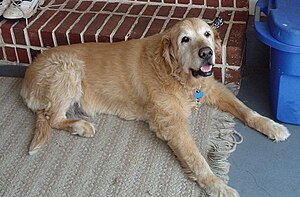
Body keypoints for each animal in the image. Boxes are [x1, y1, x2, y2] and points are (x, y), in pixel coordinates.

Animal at [19, 17, 290, 196]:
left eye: (207, 34)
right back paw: (80, 127)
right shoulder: (170, 122)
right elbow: (196, 158)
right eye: (185, 39)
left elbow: (246, 110)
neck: (176, 74)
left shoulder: (212, 88)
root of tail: (26, 79)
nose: (206, 53)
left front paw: (272, 126)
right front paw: (217, 185)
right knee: (51, 116)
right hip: (68, 69)